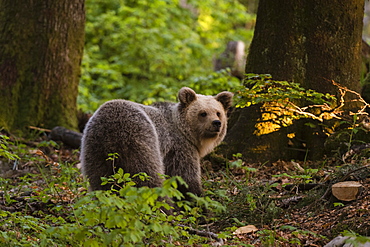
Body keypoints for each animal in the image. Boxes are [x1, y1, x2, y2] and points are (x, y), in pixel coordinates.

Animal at [80, 87, 233, 197]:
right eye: (203, 113)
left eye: (218, 112)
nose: (216, 123)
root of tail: (110, 129)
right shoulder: (179, 147)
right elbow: (185, 177)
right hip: (141, 139)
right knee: (148, 176)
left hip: (94, 148)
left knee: (100, 180)